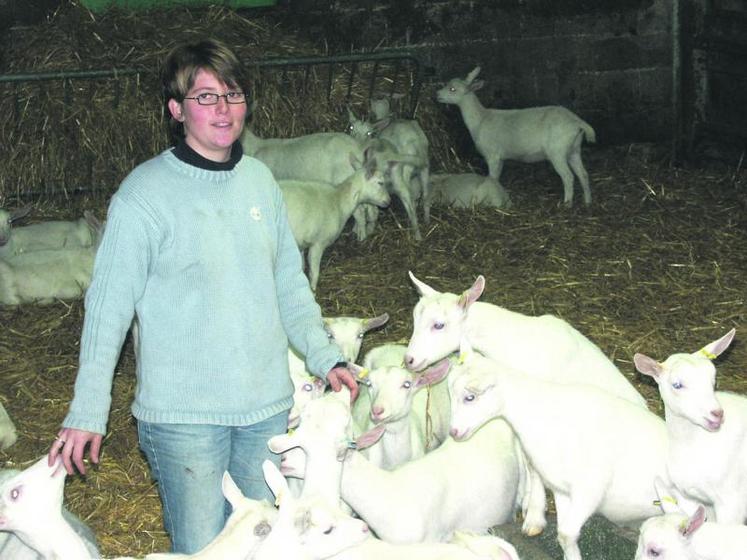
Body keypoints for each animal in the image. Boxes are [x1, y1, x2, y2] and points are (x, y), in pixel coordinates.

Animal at [278, 150, 388, 288]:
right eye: (380, 183)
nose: (389, 201)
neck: (339, 200)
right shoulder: (318, 243)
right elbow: (314, 273)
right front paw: (312, 289)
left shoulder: (301, 243)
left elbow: (301, 266)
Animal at [438, 65, 596, 206]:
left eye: (452, 89)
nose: (437, 95)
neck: (480, 119)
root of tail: (578, 122)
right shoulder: (500, 158)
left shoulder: (492, 155)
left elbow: (492, 178)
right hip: (574, 149)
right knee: (583, 174)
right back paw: (588, 202)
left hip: (557, 151)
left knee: (568, 176)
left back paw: (567, 204)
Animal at [442, 346, 676, 560]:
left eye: (470, 397)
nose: (454, 432)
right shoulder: (562, 489)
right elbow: (563, 534)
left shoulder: (589, 489)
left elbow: (566, 533)